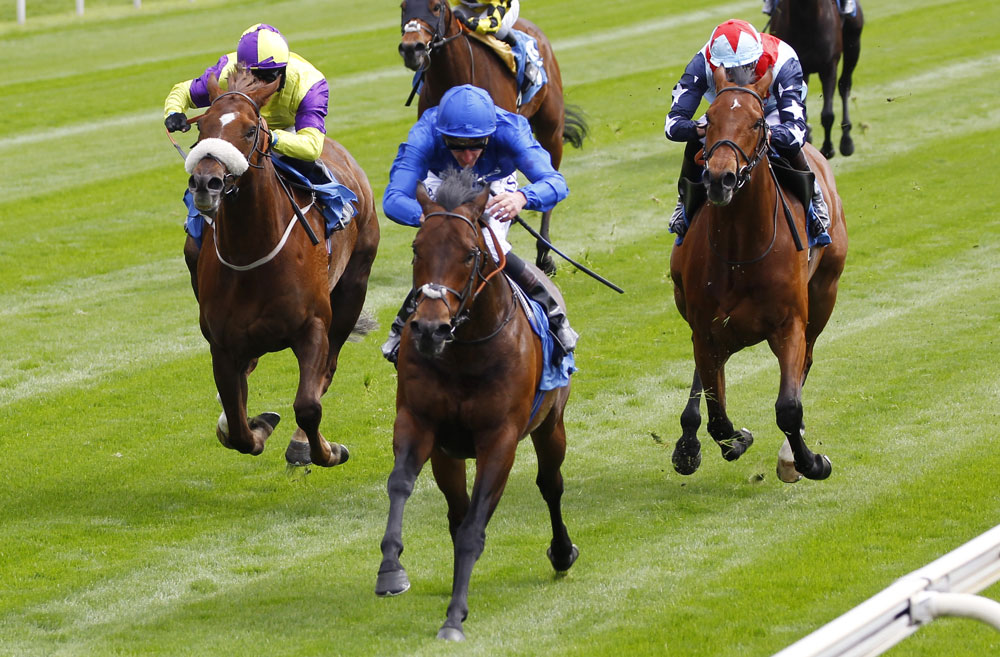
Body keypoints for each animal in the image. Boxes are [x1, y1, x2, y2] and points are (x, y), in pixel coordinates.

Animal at [184, 65, 378, 466]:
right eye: (201, 126)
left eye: (250, 129)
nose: (206, 182)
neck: (251, 258)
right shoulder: (222, 345)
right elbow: (238, 426)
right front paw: (255, 426)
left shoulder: (314, 326)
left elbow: (308, 405)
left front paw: (322, 450)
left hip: (353, 287)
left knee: (327, 372)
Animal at [376, 168, 580, 640]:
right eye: (416, 248)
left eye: (470, 254)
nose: (429, 328)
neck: (466, 352)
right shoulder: (419, 422)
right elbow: (401, 485)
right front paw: (391, 569)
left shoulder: (500, 438)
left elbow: (473, 527)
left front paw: (453, 616)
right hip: (448, 454)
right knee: (457, 507)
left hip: (550, 425)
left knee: (550, 484)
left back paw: (562, 552)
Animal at [668, 68, 848, 482]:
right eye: (709, 119)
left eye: (756, 121)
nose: (720, 178)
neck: (741, 252)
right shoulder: (707, 328)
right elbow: (718, 417)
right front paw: (735, 439)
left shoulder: (790, 323)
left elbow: (789, 407)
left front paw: (808, 461)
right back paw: (687, 443)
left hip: (825, 293)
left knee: (806, 361)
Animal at [768, 0, 864, 158]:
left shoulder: (829, 66)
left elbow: (827, 114)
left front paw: (827, 148)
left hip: (853, 42)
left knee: (844, 84)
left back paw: (846, 139)